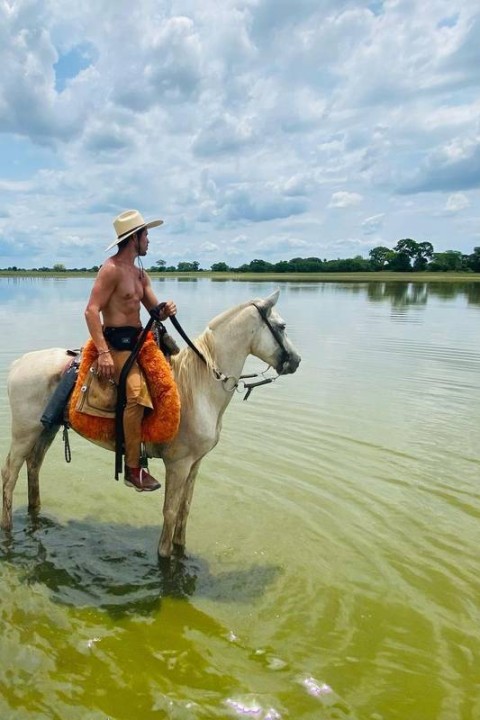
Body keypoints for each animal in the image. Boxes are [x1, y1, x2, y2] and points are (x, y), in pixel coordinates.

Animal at [0, 290, 300, 560]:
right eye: (282, 326)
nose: (296, 361)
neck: (200, 385)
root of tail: (19, 363)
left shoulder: (196, 463)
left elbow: (185, 509)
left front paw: (181, 548)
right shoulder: (178, 464)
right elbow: (170, 512)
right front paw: (165, 557)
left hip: (46, 429)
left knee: (34, 467)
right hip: (24, 433)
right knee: (9, 476)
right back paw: (8, 527)